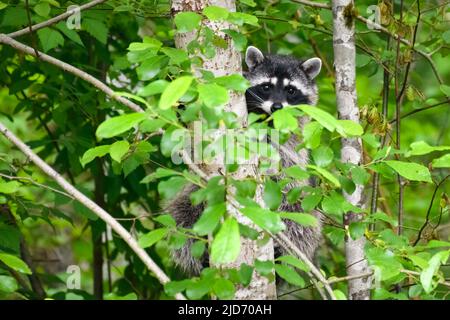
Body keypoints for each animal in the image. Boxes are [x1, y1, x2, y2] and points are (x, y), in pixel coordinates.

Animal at [167, 46, 322, 276]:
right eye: (266, 86)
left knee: (301, 216)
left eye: (291, 90)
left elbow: (287, 158)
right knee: (182, 215)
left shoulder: (292, 138)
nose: (277, 106)